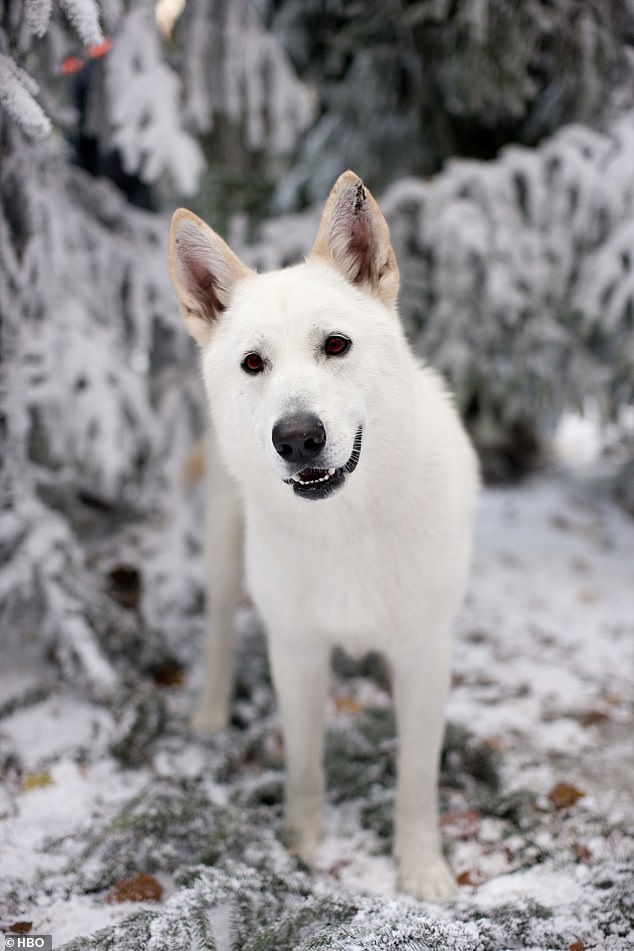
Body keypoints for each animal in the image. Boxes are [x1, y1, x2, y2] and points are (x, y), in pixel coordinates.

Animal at [165, 169, 476, 900]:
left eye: (336, 345)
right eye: (253, 364)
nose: (298, 438)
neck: (347, 529)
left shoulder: (425, 654)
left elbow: (416, 779)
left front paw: (421, 869)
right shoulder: (298, 651)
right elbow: (305, 762)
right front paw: (301, 847)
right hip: (224, 550)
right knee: (219, 631)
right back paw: (211, 711)